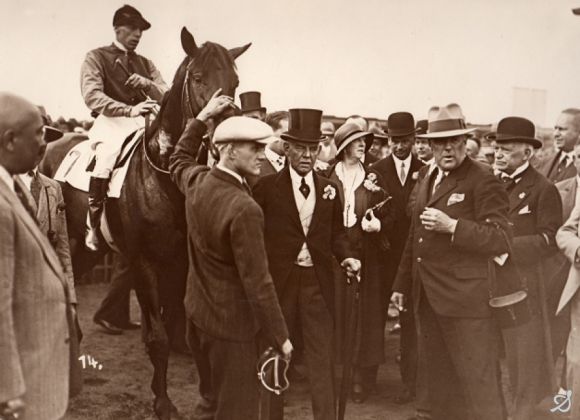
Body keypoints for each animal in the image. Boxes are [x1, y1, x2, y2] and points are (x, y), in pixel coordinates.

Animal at [40, 27, 249, 420]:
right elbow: (158, 336)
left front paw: (206, 395)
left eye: (236, 81)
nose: (226, 131)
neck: (165, 175)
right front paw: (164, 402)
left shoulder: (184, 262)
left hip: (88, 247)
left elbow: (189, 329)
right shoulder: (144, 263)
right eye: (199, 78)